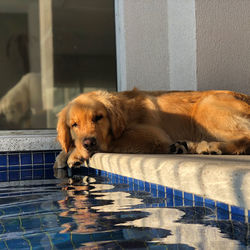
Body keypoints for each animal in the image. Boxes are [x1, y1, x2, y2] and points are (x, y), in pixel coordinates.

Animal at [54, 88, 250, 168]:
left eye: (98, 117)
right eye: (74, 125)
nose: (88, 143)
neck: (125, 112)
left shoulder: (153, 134)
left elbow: (113, 141)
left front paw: (75, 154)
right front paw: (64, 154)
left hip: (205, 105)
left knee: (246, 136)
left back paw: (212, 146)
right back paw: (186, 146)